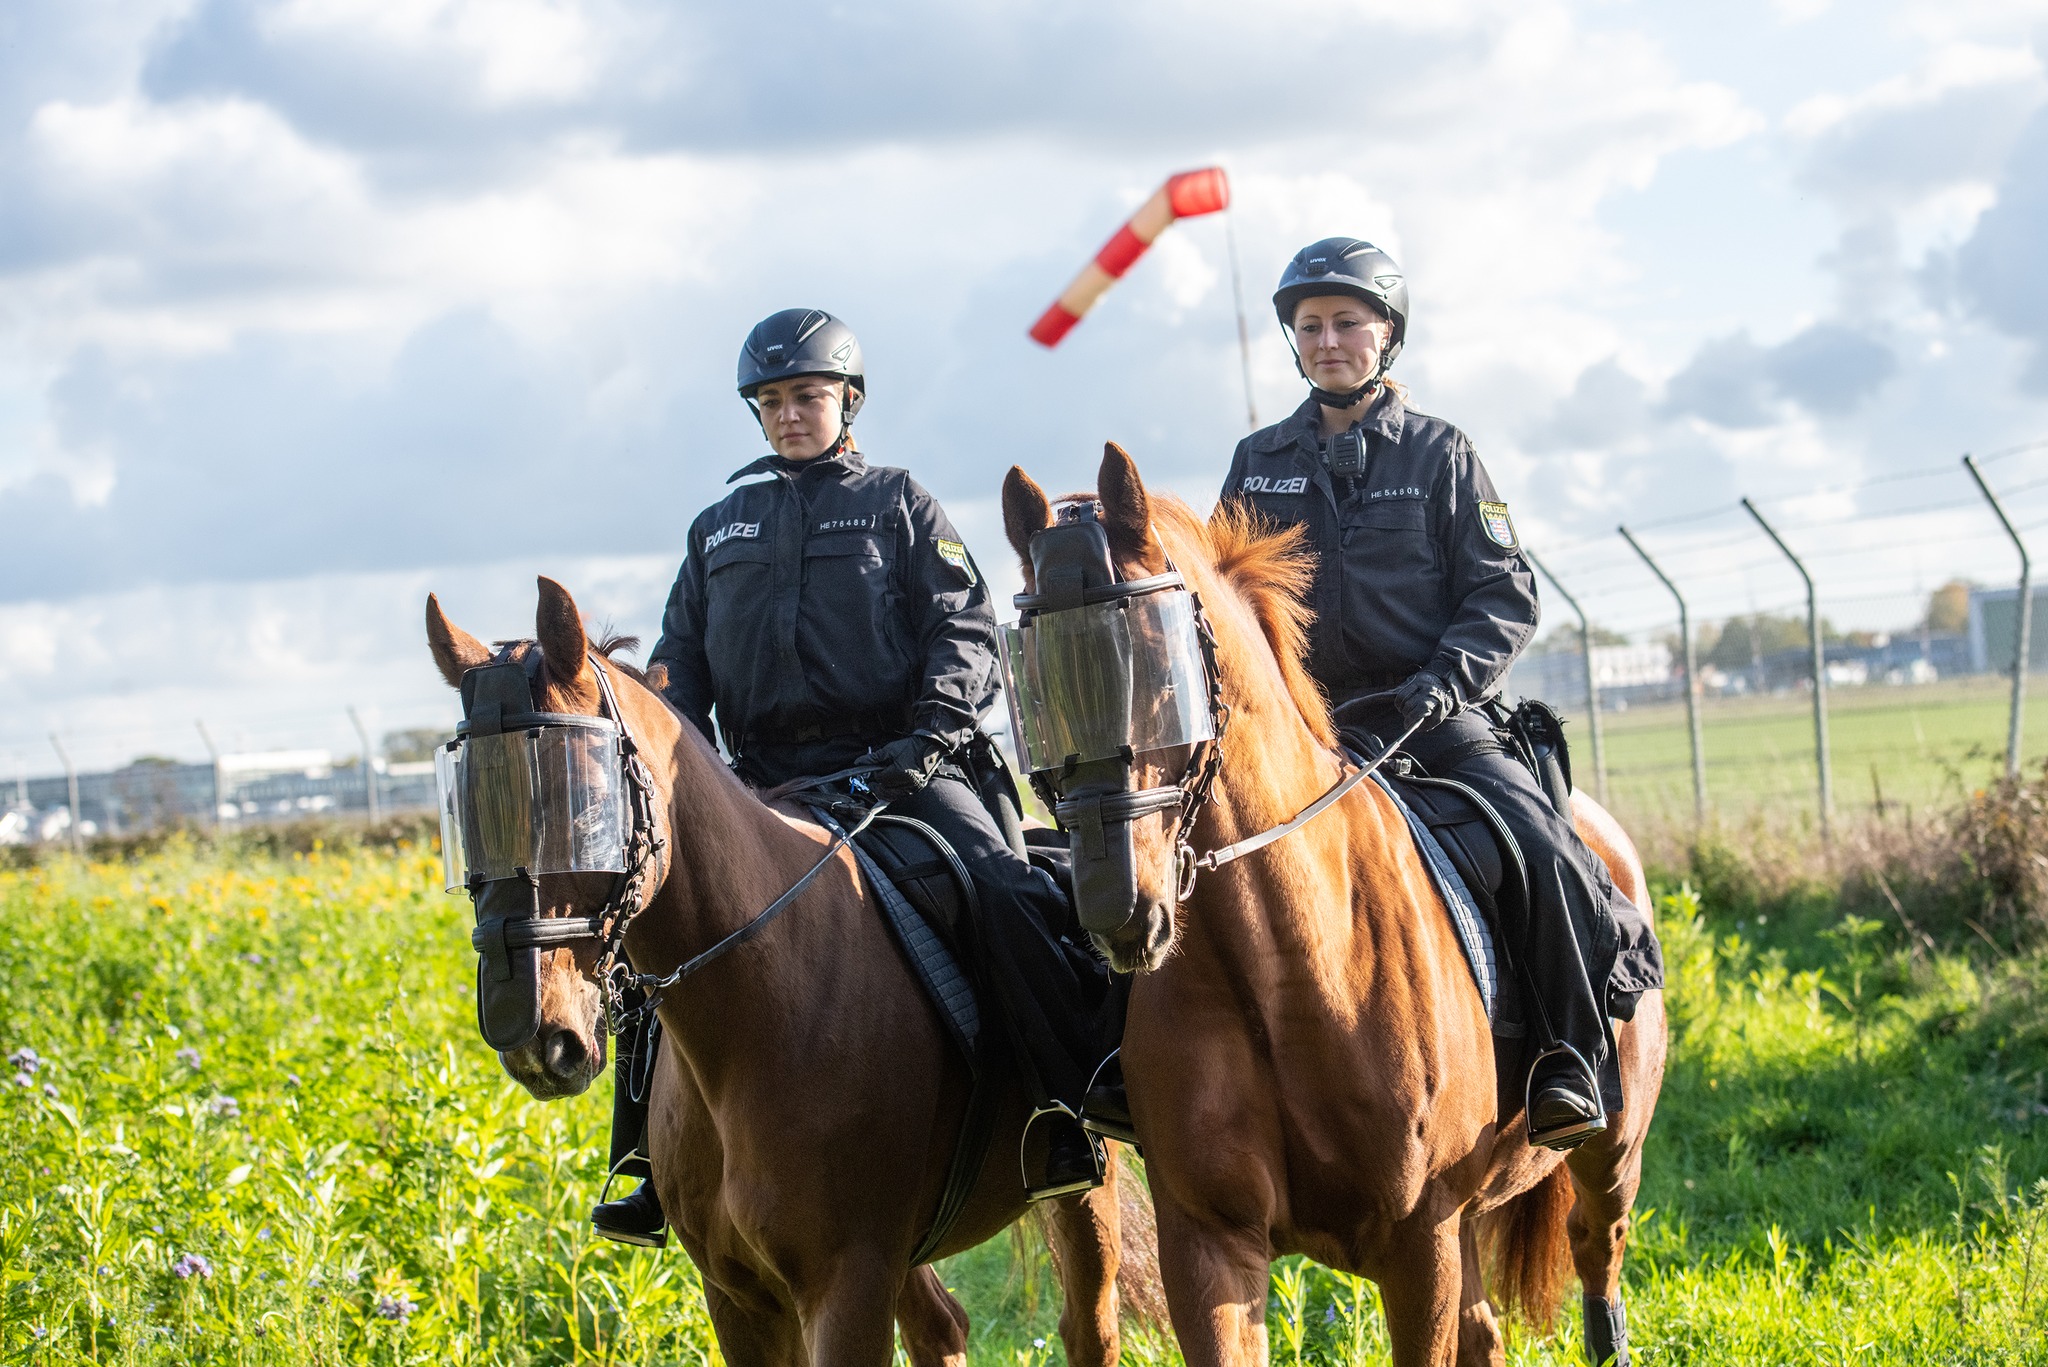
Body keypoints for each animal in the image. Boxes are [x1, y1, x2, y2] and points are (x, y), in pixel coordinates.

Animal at [423, 582, 1138, 1367]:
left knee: (1088, 1327)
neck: (756, 1013)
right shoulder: (741, 1299)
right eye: (463, 820)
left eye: (588, 807)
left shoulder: (846, 1288)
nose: (533, 1036)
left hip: (1079, 1196)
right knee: (942, 1325)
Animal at [1003, 450, 1662, 1367]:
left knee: (1599, 1268)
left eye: (1158, 662)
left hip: (1609, 1158)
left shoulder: (1418, 1242)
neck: (1282, 970)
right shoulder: (1211, 1246)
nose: (1117, 902)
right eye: (1035, 681)